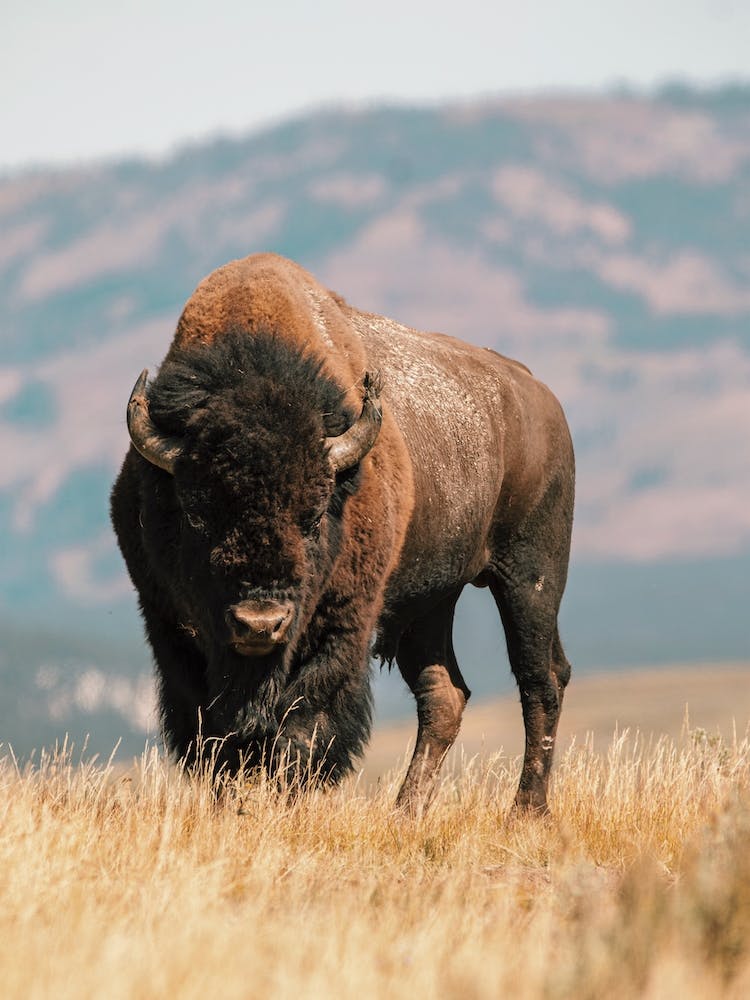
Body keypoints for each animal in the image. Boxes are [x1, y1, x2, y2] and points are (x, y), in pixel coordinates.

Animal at [111, 253, 574, 813]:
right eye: (198, 517)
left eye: (312, 517)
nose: (260, 624)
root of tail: (539, 395)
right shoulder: (169, 623)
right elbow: (210, 734)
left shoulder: (342, 623)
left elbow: (304, 723)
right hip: (430, 602)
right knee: (444, 695)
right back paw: (406, 811)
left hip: (530, 577)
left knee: (540, 680)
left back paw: (526, 811)